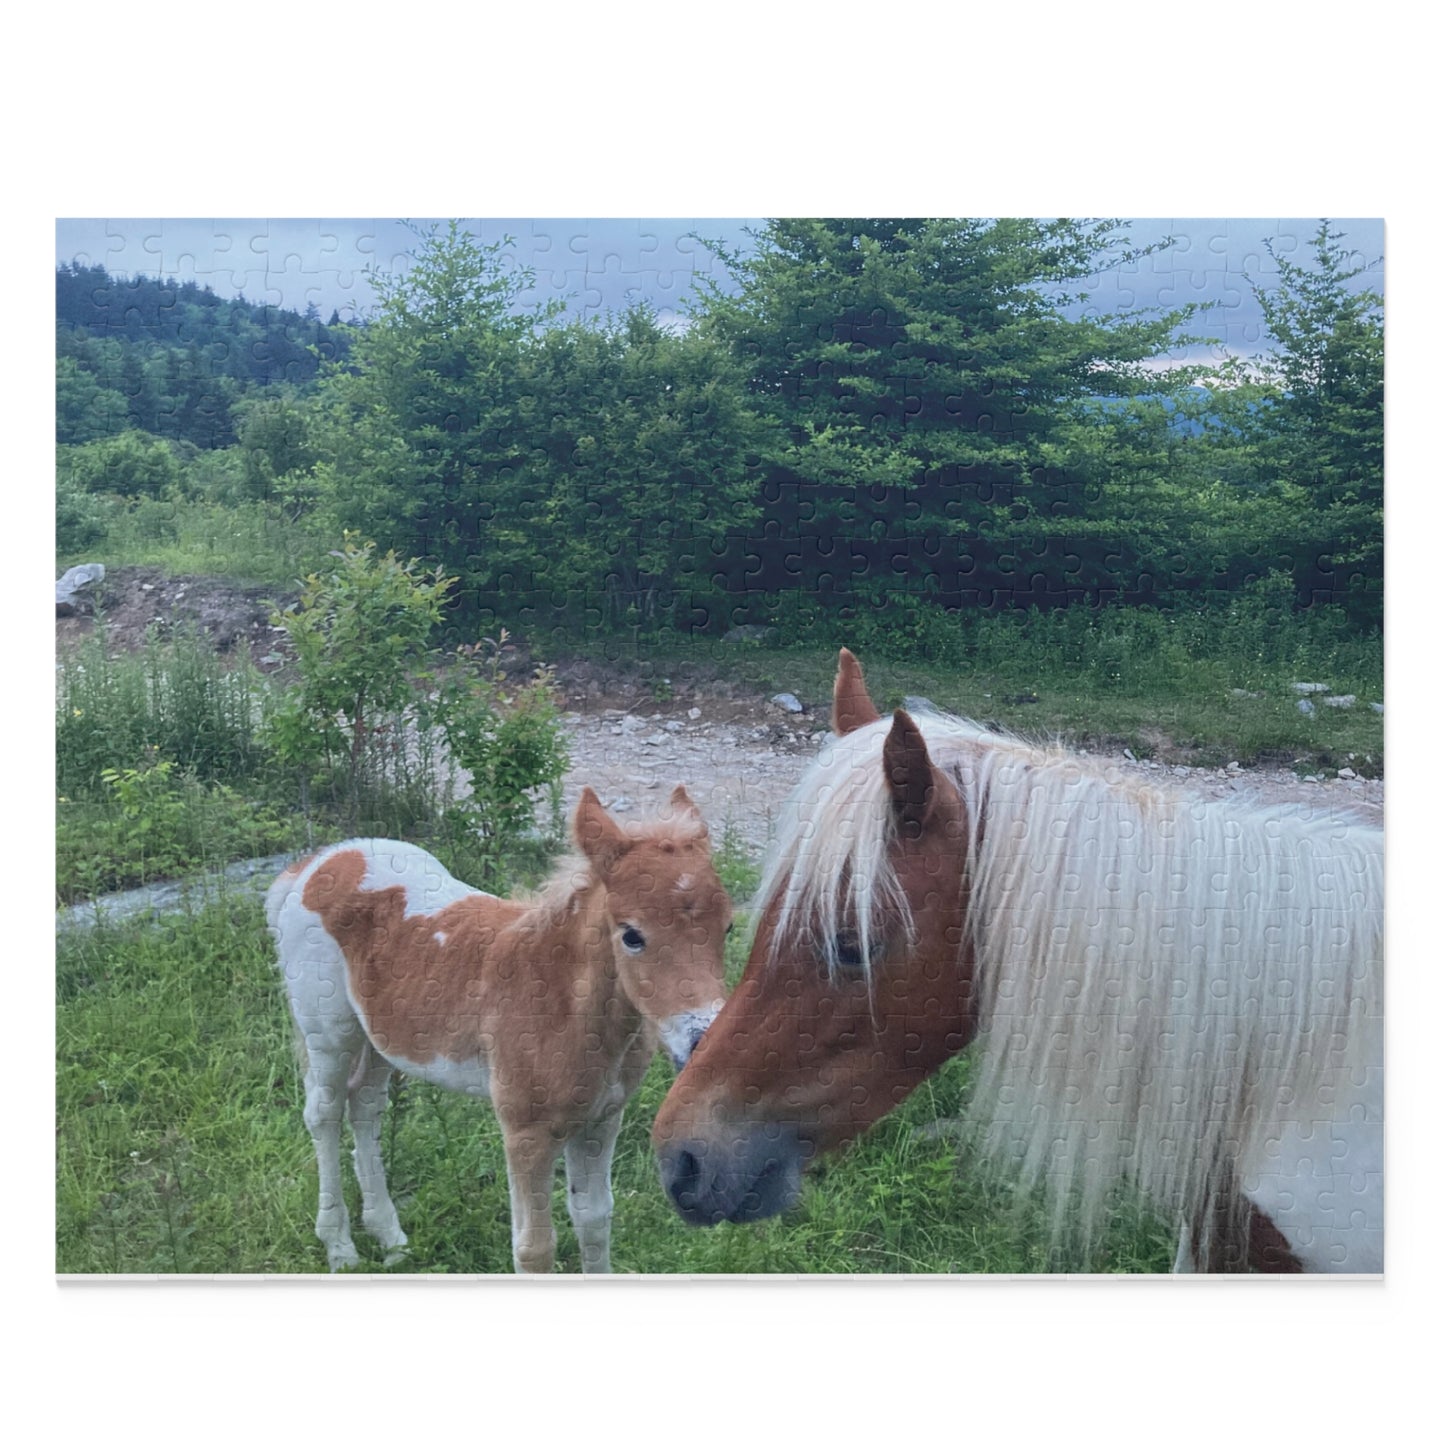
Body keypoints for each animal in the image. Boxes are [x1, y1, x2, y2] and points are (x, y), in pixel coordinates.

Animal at [268, 785, 731, 1273]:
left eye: (727, 927)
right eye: (632, 935)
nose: (701, 1040)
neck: (562, 1002)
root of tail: (322, 861)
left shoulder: (602, 1119)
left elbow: (594, 1219)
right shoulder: (525, 1131)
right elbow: (533, 1248)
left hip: (379, 1037)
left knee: (365, 1106)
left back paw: (390, 1239)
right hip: (328, 1031)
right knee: (324, 1113)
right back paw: (340, 1248)